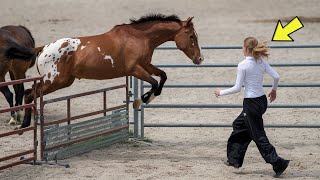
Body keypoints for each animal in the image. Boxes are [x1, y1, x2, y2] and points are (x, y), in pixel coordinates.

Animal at [18, 13, 204, 130]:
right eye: (192, 37)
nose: (200, 59)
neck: (139, 37)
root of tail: (43, 49)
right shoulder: (135, 69)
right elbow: (154, 82)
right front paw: (142, 99)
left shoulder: (146, 65)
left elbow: (163, 76)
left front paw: (148, 98)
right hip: (54, 81)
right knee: (31, 93)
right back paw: (25, 123)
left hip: (62, 81)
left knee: (30, 92)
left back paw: (27, 121)